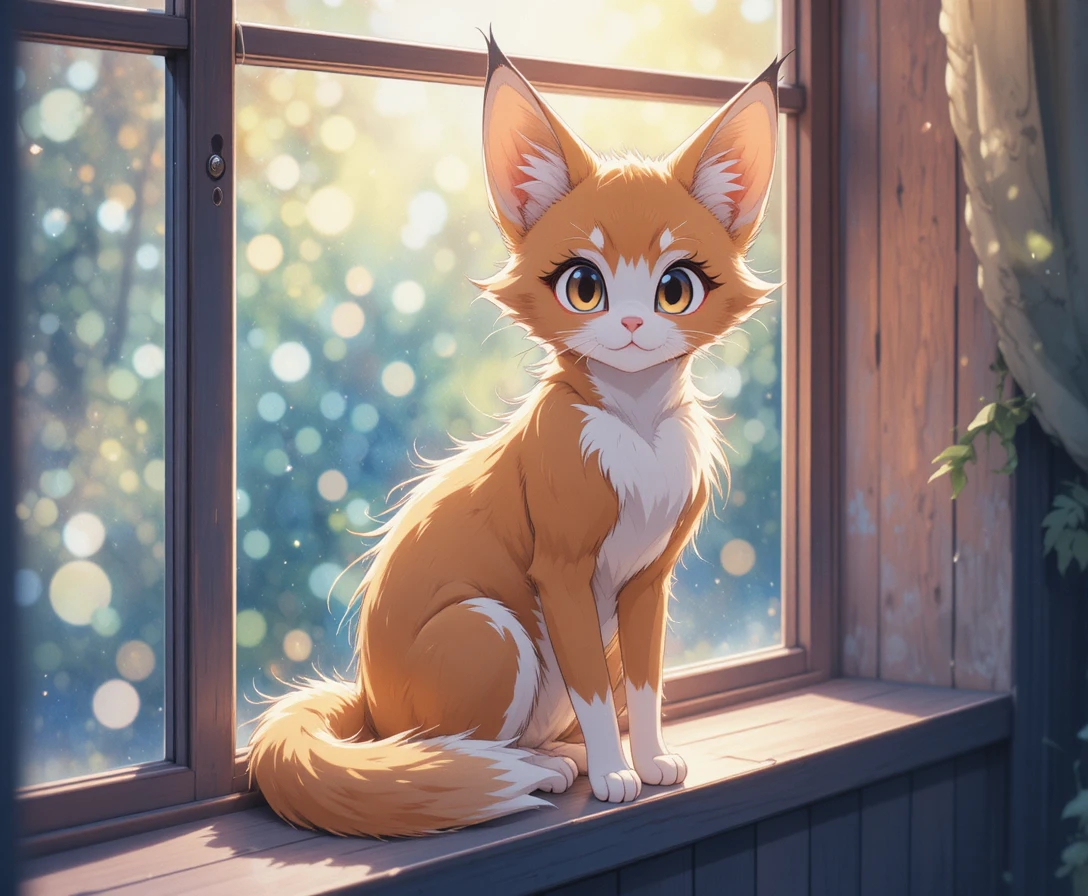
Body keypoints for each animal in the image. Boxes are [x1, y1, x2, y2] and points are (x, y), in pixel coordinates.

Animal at [248, 35, 782, 838]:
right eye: (584, 286)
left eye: (675, 288)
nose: (632, 323)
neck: (637, 433)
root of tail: (368, 707)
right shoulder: (560, 574)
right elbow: (594, 694)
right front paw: (617, 775)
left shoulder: (649, 584)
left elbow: (646, 688)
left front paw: (648, 760)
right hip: (491, 629)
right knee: (439, 751)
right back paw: (534, 770)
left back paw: (560, 758)